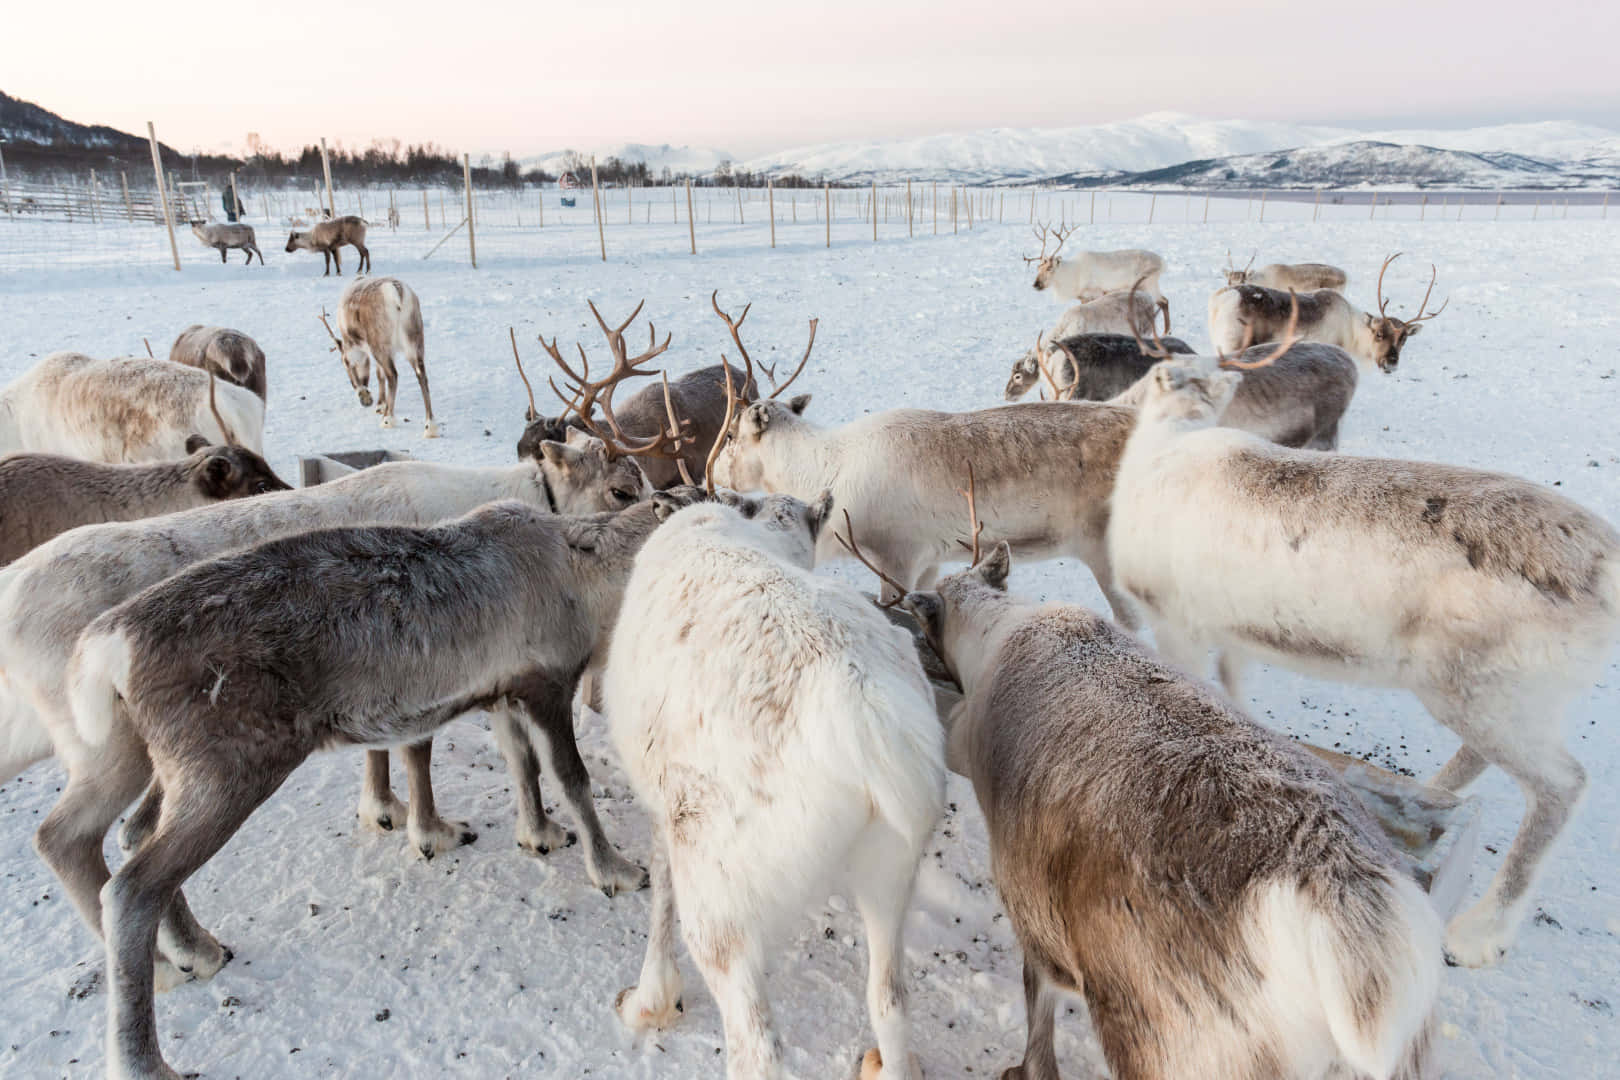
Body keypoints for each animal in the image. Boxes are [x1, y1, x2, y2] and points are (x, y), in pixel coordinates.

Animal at [64, 489, 705, 1080]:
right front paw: (615, 869)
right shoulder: (547, 683)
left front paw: (539, 833)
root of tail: (107, 647)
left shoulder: (503, 692)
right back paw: (146, 1060)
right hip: (228, 769)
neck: (587, 572)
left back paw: (197, 950)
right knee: (130, 888)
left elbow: (521, 765)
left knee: (135, 833)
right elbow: (572, 779)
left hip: (174, 766)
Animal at [326, 275, 437, 436]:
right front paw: (381, 404)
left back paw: (387, 419)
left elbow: (380, 375)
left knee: (393, 375)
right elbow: (380, 374)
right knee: (421, 374)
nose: (365, 401)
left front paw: (380, 405)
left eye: (345, 363)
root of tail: (396, 291)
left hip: (380, 343)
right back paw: (430, 426)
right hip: (414, 337)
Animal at [605, 489, 943, 1080]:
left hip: (718, 891)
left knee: (756, 1046)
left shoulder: (664, 803)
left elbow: (660, 894)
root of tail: (867, 712)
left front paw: (648, 1003)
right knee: (891, 1000)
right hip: (893, 865)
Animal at [1106, 310, 1620, 967]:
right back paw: (1428, 796)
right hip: (1501, 699)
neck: (1167, 443)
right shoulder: (1235, 634)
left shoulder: (1177, 622)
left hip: (1479, 693)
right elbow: (1235, 690)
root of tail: (1606, 567)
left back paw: (1479, 934)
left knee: (1562, 787)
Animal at [1209, 253, 1446, 373]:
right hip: (1234, 345)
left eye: (1404, 339)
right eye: (1379, 334)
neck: (1353, 332)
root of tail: (1220, 299)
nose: (1391, 363)